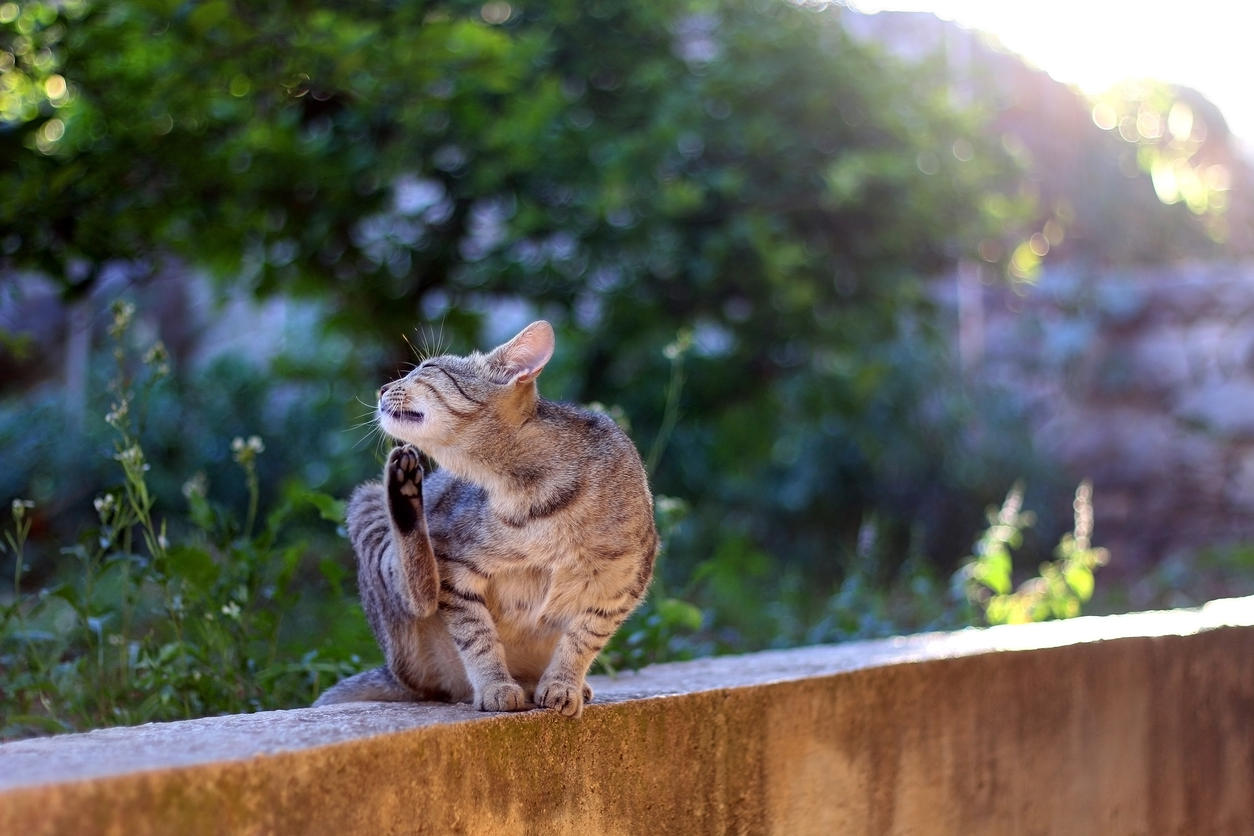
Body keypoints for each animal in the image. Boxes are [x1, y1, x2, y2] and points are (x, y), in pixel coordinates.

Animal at [316, 323, 657, 721]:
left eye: (427, 368)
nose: (383, 388)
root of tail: (394, 674)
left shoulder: (620, 587)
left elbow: (583, 639)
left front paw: (563, 683)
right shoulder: (456, 571)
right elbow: (477, 636)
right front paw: (495, 685)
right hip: (367, 507)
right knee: (420, 593)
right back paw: (404, 493)